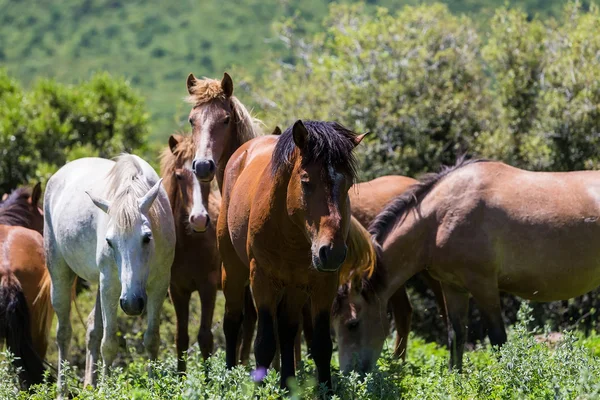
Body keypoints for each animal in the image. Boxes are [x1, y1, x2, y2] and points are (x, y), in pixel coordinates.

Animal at [43, 155, 176, 396]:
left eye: (147, 237)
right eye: (109, 241)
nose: (132, 303)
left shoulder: (160, 284)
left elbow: (152, 339)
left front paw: (154, 387)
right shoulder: (111, 286)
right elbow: (110, 343)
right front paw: (105, 390)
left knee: (92, 330)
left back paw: (89, 385)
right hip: (60, 274)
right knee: (63, 333)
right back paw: (62, 390)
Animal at [161, 134, 221, 372]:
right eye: (178, 176)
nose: (199, 219)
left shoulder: (208, 287)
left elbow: (205, 338)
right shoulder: (177, 290)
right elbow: (181, 339)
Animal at [218, 120, 372, 390]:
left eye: (347, 184)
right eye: (306, 182)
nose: (332, 252)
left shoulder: (323, 284)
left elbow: (320, 345)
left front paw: (325, 390)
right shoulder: (262, 280)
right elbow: (264, 344)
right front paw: (260, 389)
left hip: (294, 288)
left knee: (287, 330)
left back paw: (286, 383)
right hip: (233, 272)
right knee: (232, 322)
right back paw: (228, 376)